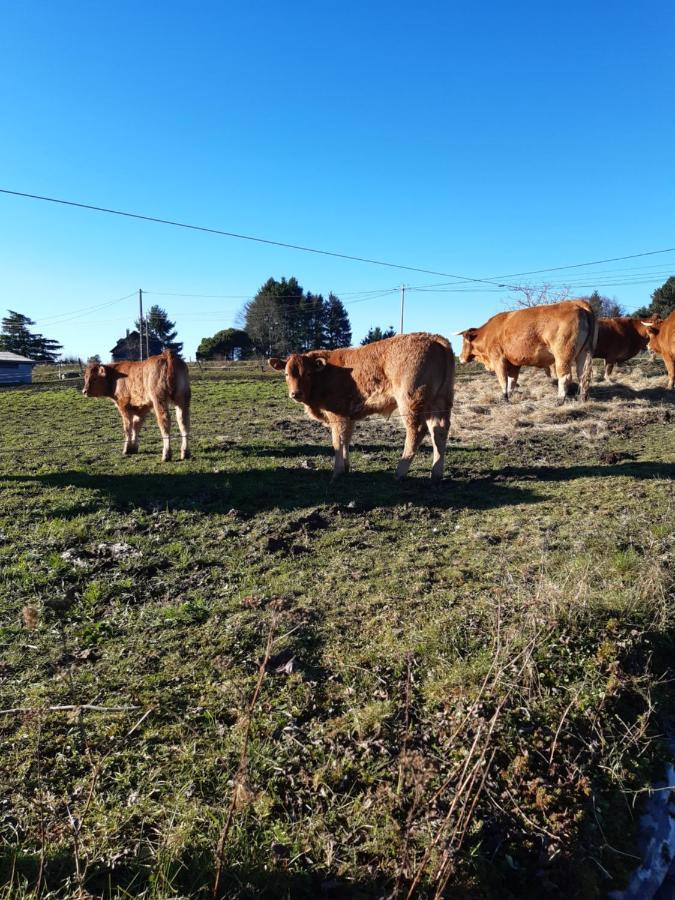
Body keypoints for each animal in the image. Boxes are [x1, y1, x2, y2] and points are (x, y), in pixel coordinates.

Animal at [270, 334, 454, 482]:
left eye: (308, 373)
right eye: (286, 374)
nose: (296, 393)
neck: (326, 373)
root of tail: (434, 338)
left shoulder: (337, 415)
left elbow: (337, 441)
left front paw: (337, 472)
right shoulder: (348, 417)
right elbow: (345, 439)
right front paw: (345, 467)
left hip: (410, 401)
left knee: (417, 431)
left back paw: (400, 472)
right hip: (440, 402)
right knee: (439, 431)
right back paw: (436, 474)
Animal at [454, 300, 596, 402]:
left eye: (463, 341)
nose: (460, 357)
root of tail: (577, 302)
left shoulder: (498, 358)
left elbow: (503, 379)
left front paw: (504, 397)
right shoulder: (513, 363)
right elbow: (512, 380)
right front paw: (510, 394)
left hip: (563, 355)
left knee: (565, 376)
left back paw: (560, 399)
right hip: (584, 353)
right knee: (583, 375)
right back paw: (582, 398)